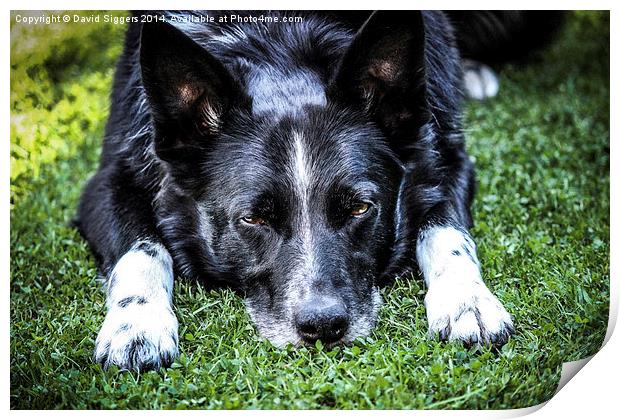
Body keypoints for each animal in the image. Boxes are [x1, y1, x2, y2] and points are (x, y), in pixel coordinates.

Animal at [75, 9, 560, 370]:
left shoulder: (446, 157)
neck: (275, 36)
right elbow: (142, 249)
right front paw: (137, 325)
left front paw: (467, 303)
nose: (323, 326)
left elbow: (445, 231)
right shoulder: (109, 178)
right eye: (253, 218)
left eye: (360, 208)